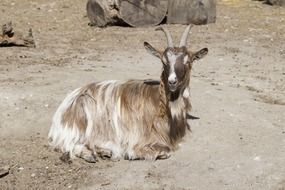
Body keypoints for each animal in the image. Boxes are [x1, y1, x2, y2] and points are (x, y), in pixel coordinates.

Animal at [48, 24, 206, 163]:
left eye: (188, 61)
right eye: (163, 61)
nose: (172, 81)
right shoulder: (139, 139)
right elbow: (162, 151)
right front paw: (132, 154)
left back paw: (104, 151)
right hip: (80, 121)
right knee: (69, 145)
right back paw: (92, 154)